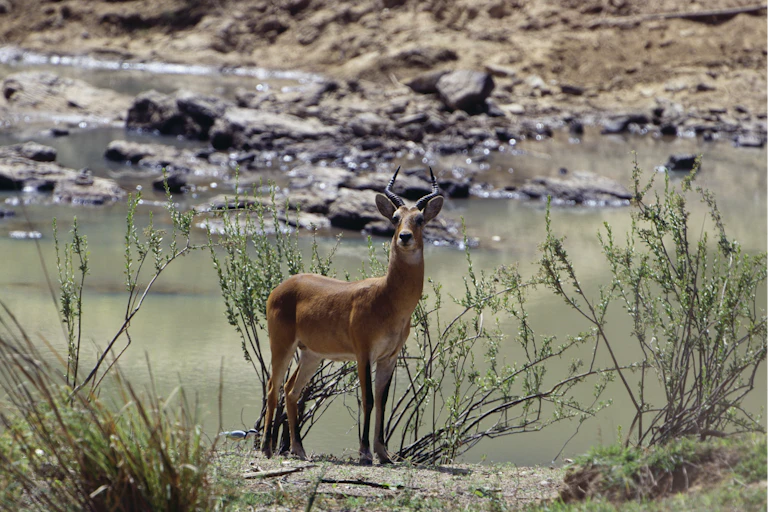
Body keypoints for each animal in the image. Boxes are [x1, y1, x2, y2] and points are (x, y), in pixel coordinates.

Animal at [261, 167, 443, 465]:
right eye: (395, 218)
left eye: (419, 218)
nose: (404, 237)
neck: (387, 298)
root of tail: (280, 287)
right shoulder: (363, 352)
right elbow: (367, 398)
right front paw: (365, 453)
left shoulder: (389, 357)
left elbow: (382, 401)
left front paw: (384, 453)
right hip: (282, 345)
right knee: (272, 387)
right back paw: (266, 448)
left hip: (311, 354)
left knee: (291, 390)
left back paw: (299, 449)